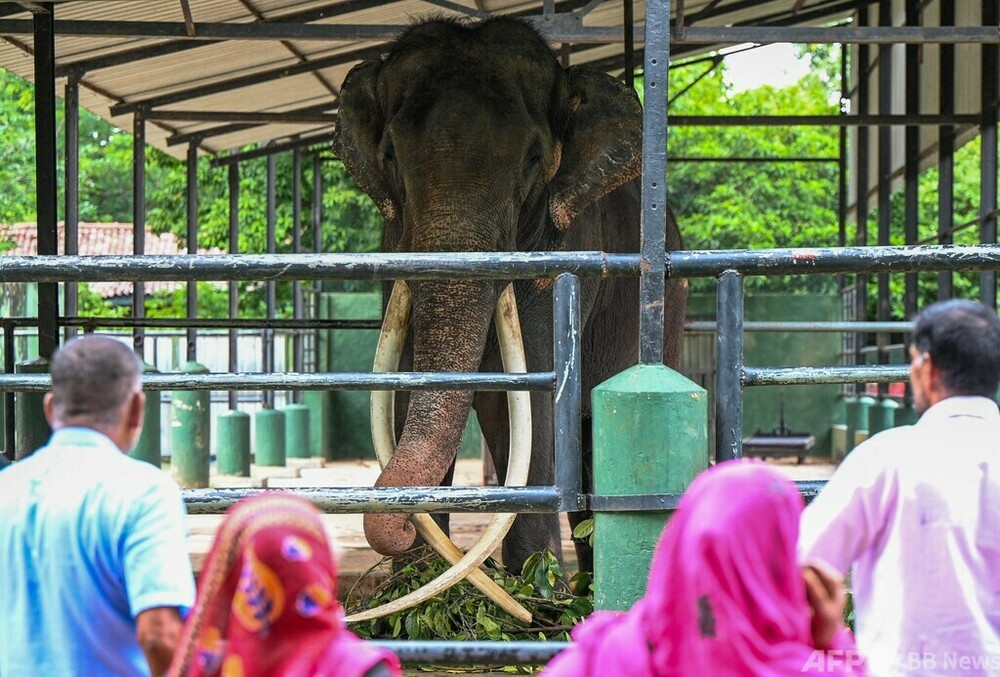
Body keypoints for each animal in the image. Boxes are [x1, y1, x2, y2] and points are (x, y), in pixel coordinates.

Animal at [332, 14, 684, 576]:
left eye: (534, 159)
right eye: (390, 157)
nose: (404, 527)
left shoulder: (563, 251)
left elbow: (538, 392)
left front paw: (534, 584)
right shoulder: (394, 249)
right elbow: (410, 377)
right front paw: (416, 583)